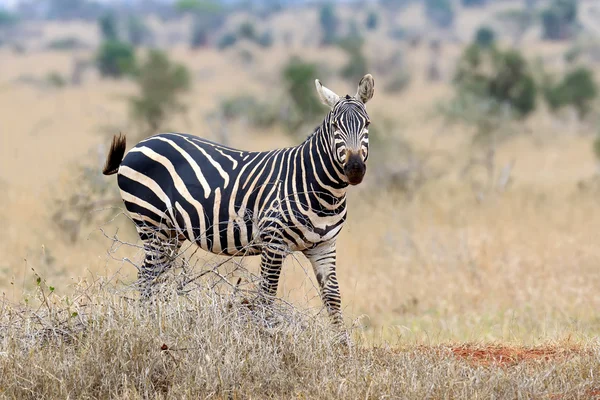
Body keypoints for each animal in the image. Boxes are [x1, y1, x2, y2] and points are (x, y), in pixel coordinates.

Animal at [103, 75, 376, 324]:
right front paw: (265, 337)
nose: (354, 169)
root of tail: (140, 145)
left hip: (171, 233)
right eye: (335, 126)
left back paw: (154, 321)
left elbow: (333, 299)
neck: (321, 190)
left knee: (154, 279)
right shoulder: (274, 242)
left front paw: (342, 345)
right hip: (152, 225)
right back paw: (146, 324)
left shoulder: (324, 246)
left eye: (367, 124)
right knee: (146, 279)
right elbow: (266, 297)